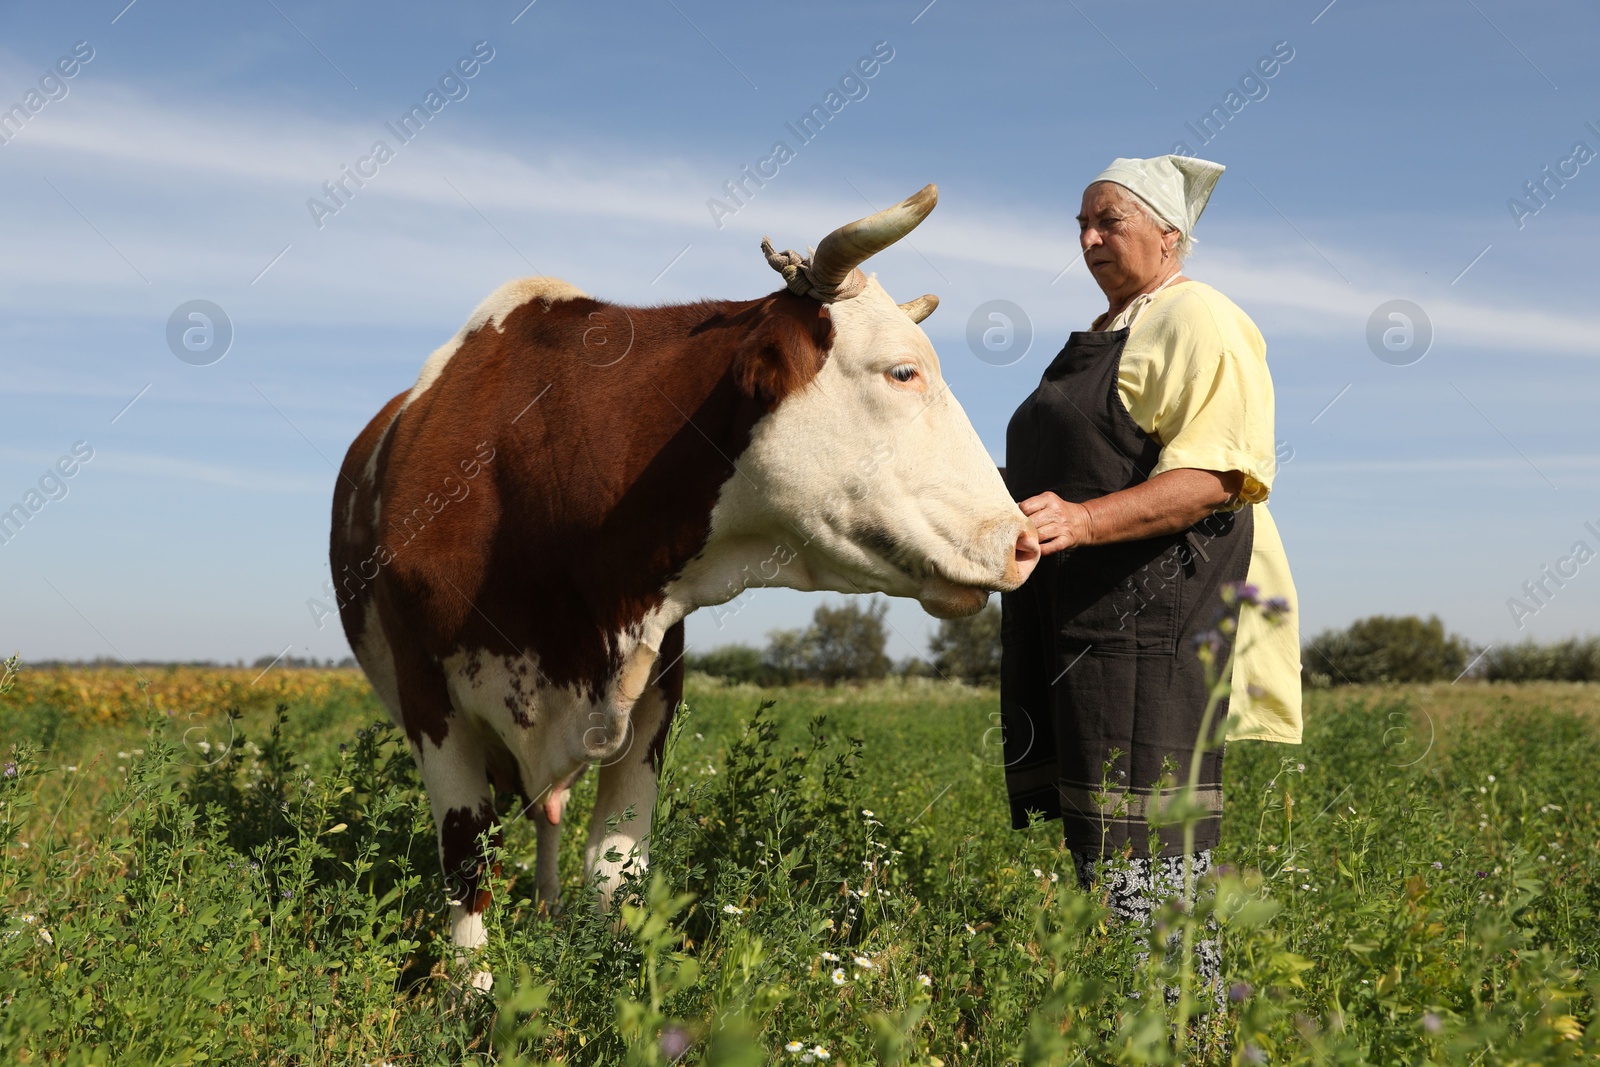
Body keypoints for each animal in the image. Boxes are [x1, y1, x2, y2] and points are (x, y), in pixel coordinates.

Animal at [331, 185, 1043, 991]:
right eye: (902, 372)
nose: (1023, 540)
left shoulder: (653, 688)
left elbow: (614, 868)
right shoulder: (428, 695)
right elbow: (466, 858)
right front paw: (470, 992)